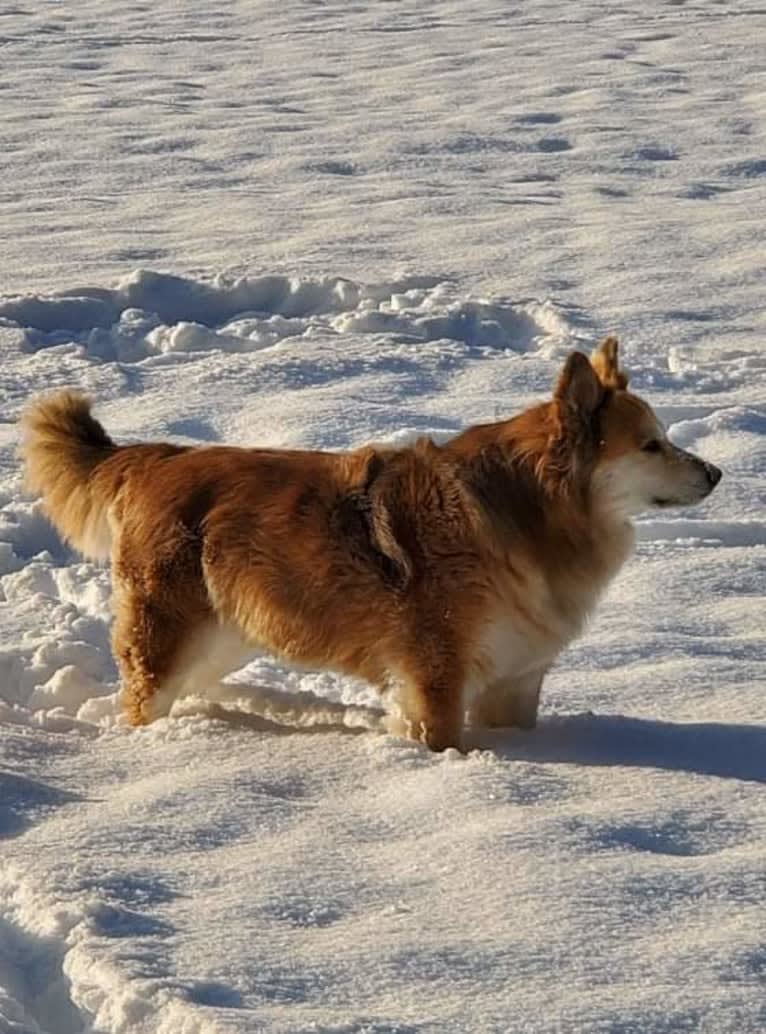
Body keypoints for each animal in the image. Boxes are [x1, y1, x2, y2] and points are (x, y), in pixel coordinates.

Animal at [20, 339, 719, 752]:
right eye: (650, 445)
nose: (716, 473)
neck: (526, 513)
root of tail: (153, 457)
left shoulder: (516, 681)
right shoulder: (436, 677)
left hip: (228, 633)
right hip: (170, 636)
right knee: (143, 701)